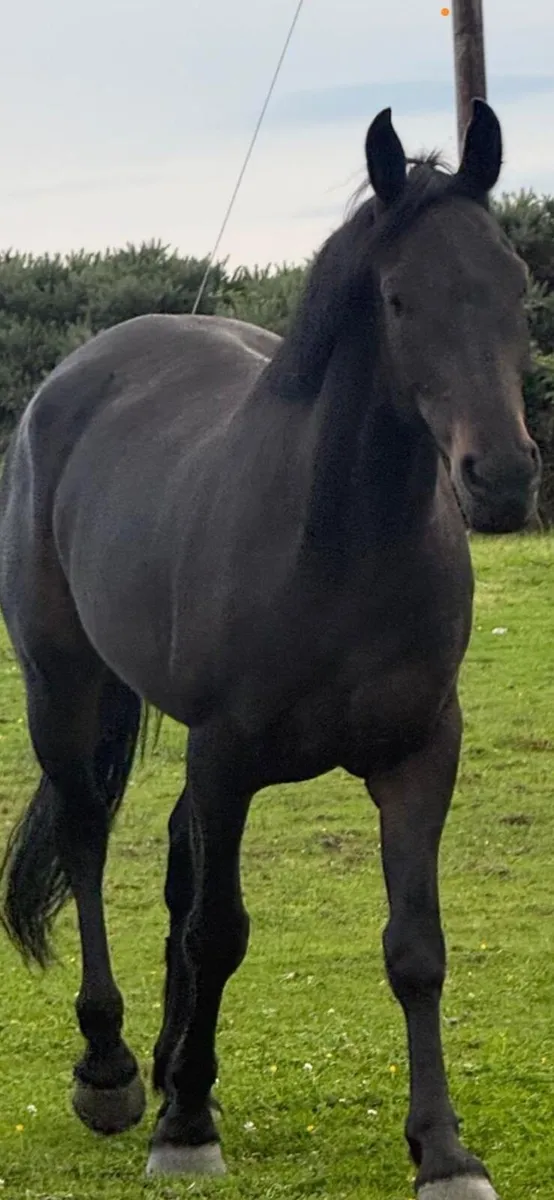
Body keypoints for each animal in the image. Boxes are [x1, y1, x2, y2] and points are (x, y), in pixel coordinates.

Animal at [0, 100, 540, 1199]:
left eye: (514, 286)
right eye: (397, 299)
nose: (501, 477)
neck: (335, 545)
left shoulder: (420, 754)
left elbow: (415, 947)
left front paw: (443, 1148)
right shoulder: (227, 756)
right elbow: (218, 932)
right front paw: (185, 1127)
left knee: (169, 864)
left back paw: (171, 1064)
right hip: (63, 693)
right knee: (86, 842)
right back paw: (115, 1071)